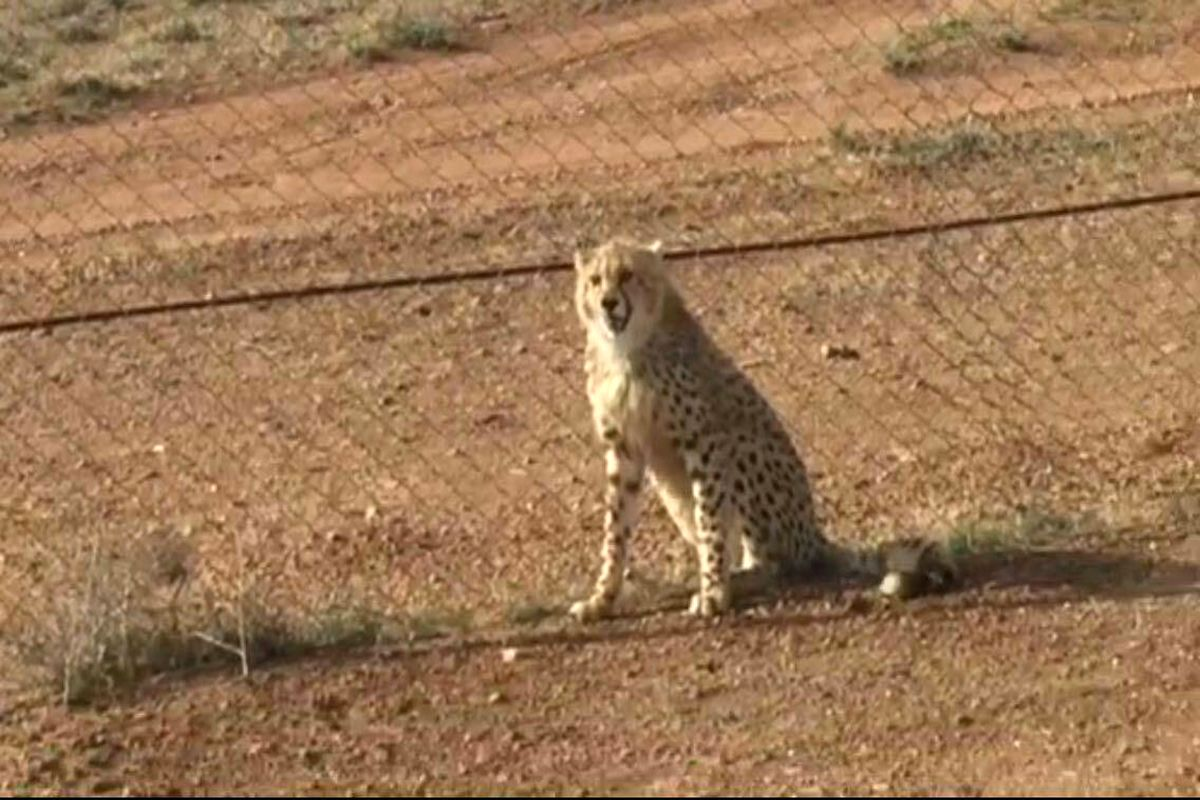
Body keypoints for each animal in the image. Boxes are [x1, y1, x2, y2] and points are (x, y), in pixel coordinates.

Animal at [568, 235, 955, 623]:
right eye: (595, 281)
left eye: (628, 275)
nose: (608, 303)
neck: (626, 349)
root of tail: (813, 535)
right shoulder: (623, 448)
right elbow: (615, 531)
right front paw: (602, 598)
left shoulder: (704, 441)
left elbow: (711, 522)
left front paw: (714, 592)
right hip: (672, 493)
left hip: (744, 447)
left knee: (775, 565)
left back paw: (732, 580)